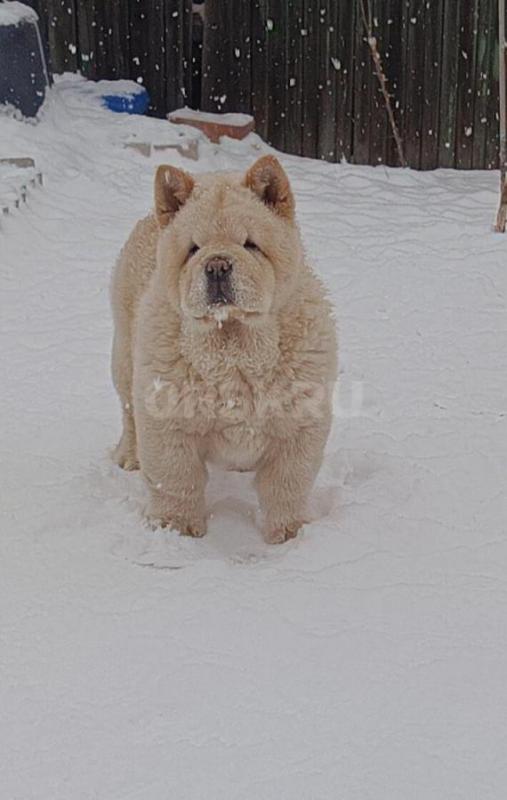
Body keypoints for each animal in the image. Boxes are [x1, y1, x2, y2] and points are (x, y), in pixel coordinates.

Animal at [113, 156, 340, 544]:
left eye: (250, 245)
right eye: (193, 248)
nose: (217, 265)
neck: (234, 350)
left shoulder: (300, 421)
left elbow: (287, 485)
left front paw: (289, 535)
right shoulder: (167, 419)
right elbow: (176, 480)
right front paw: (178, 531)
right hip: (125, 360)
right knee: (128, 413)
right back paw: (130, 456)